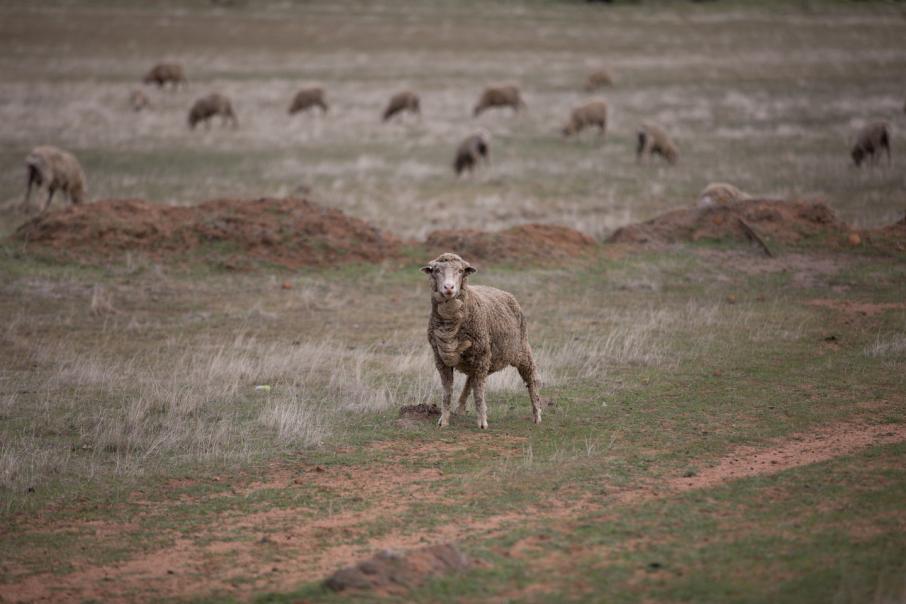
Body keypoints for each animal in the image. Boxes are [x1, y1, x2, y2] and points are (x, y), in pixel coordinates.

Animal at [420, 252, 540, 432]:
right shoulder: (440, 358)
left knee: (531, 379)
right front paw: (444, 420)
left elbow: (479, 392)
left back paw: (537, 414)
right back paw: (461, 407)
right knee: (472, 379)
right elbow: (447, 391)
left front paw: (482, 421)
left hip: (520, 350)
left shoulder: (482, 356)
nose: (449, 288)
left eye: (460, 271)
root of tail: (503, 292)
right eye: (436, 270)